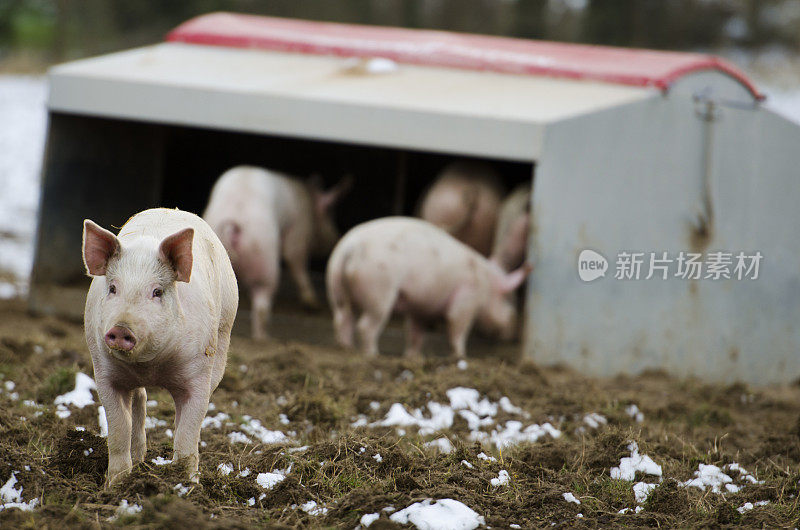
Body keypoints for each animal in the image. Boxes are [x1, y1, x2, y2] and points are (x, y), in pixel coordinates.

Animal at [82, 206, 238, 482]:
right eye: (112, 288)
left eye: (157, 292)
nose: (121, 329)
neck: (151, 366)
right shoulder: (104, 373)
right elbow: (118, 430)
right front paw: (116, 483)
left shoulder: (198, 373)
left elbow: (188, 431)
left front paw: (186, 483)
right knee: (140, 399)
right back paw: (139, 459)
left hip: (222, 338)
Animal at [203, 165, 350, 338]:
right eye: (330, 213)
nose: (336, 238)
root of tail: (232, 226)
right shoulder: (299, 229)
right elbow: (295, 260)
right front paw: (313, 304)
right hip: (263, 255)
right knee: (262, 306)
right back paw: (263, 337)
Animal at [324, 216, 532, 358]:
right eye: (509, 298)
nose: (514, 333)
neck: (486, 284)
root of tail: (350, 248)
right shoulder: (467, 299)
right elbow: (457, 327)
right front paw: (461, 356)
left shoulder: (420, 307)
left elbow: (415, 332)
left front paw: (414, 357)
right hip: (379, 290)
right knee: (365, 326)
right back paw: (373, 355)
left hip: (335, 284)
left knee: (342, 319)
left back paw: (345, 348)